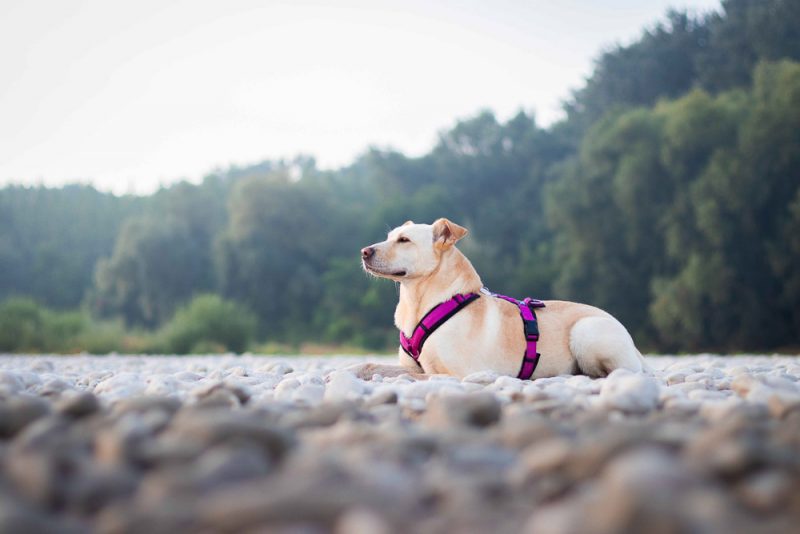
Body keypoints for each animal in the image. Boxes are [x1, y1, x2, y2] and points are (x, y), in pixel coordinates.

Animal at [354, 218, 648, 382]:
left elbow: (415, 377)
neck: (419, 301)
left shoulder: (460, 373)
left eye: (404, 240)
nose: (364, 251)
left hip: (587, 332)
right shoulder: (410, 365)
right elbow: (373, 365)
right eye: (389, 237)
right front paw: (349, 371)